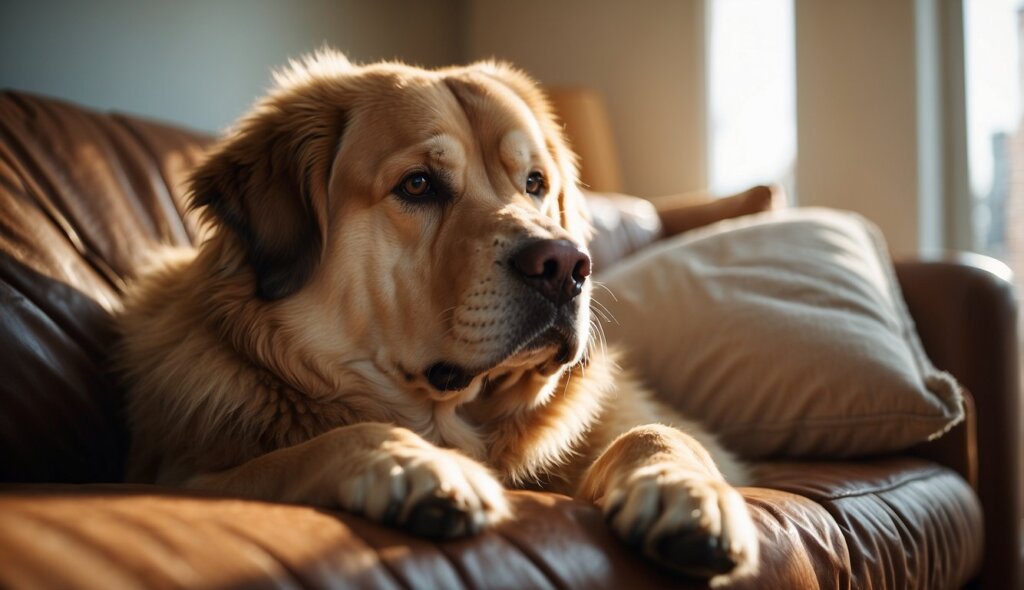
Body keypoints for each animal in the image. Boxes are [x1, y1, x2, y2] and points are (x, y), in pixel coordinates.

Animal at [117, 50, 761, 585]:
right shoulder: (182, 477)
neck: (462, 419)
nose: (566, 265)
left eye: (535, 183)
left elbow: (658, 431)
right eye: (419, 184)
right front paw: (418, 464)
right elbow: (316, 446)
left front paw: (689, 492)